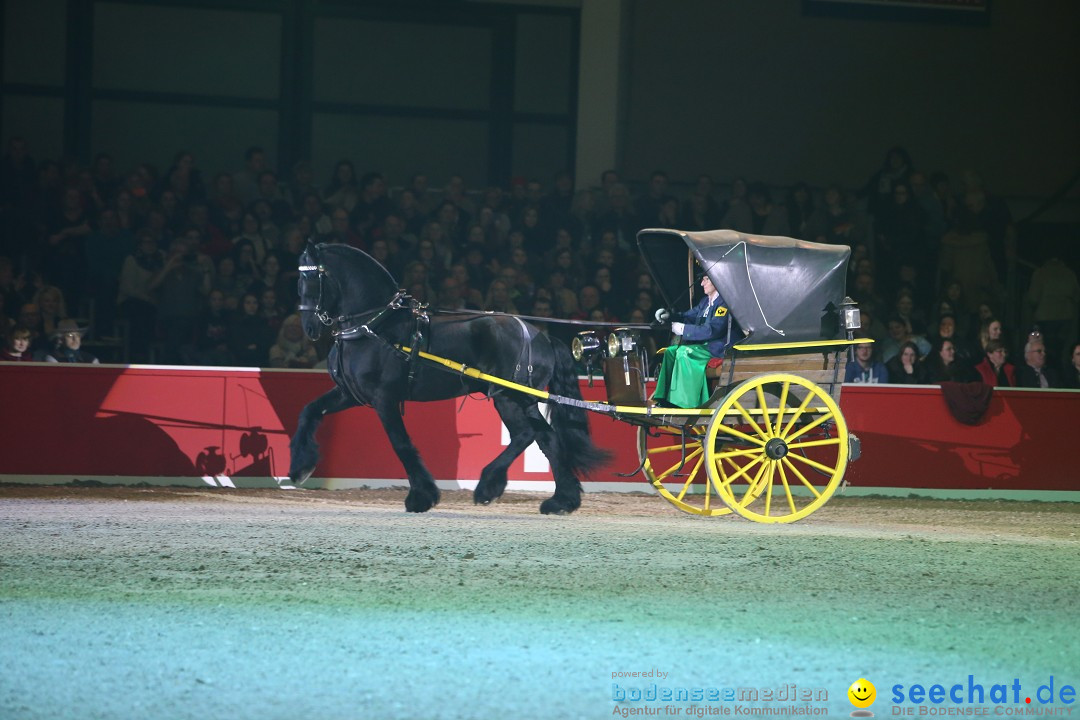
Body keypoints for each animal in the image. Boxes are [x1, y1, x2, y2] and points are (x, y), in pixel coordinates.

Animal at [289, 245, 609, 515]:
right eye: (298, 277)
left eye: (312, 277)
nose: (310, 327)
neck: (376, 326)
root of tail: (541, 336)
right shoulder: (350, 393)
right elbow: (308, 411)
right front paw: (299, 468)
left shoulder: (384, 399)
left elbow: (401, 444)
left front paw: (421, 496)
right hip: (522, 400)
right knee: (546, 438)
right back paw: (561, 501)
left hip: (509, 397)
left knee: (527, 434)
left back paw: (489, 486)